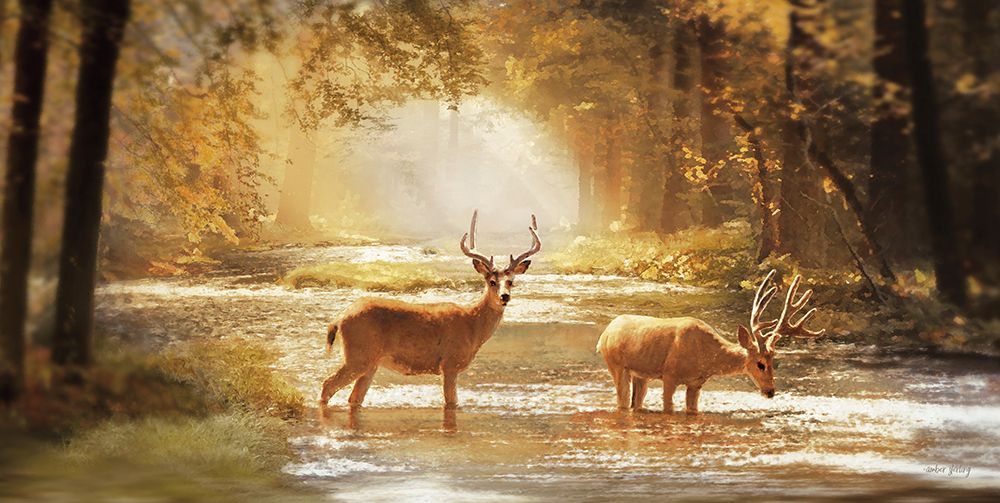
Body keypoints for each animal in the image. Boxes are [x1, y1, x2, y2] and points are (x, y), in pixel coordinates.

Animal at [319, 210, 541, 410]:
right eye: (492, 281)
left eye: (511, 281)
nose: (504, 296)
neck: (472, 325)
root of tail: (339, 318)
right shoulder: (450, 363)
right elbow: (452, 402)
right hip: (358, 355)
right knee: (327, 385)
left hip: (370, 363)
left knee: (354, 398)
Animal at [596, 270, 825, 414]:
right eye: (760, 364)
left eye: (774, 362)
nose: (770, 391)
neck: (706, 357)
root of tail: (604, 334)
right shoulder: (670, 375)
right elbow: (668, 408)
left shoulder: (696, 383)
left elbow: (692, 409)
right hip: (617, 365)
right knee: (622, 401)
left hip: (641, 375)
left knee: (635, 403)